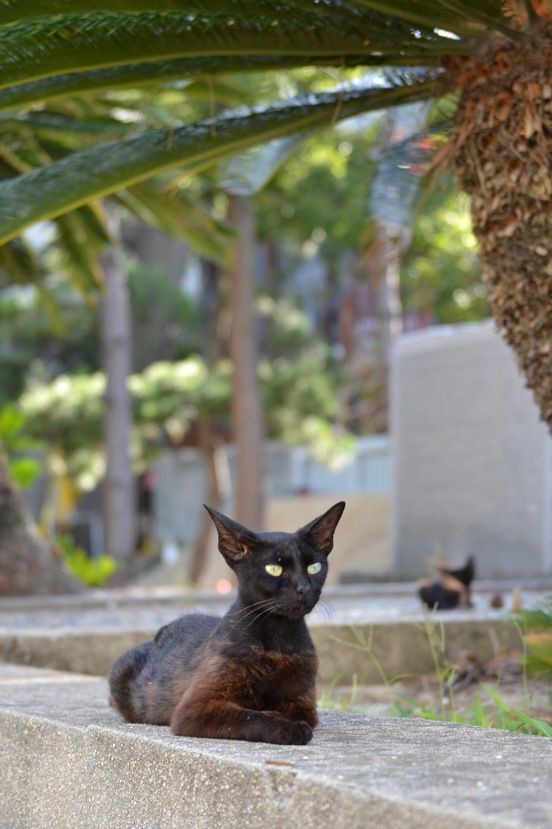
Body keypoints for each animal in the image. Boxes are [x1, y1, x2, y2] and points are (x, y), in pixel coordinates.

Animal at [109, 502, 344, 748]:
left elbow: (282, 711)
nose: (304, 589)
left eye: (314, 567)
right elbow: (250, 716)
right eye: (274, 569)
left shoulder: (303, 704)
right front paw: (290, 728)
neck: (277, 640)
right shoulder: (196, 707)